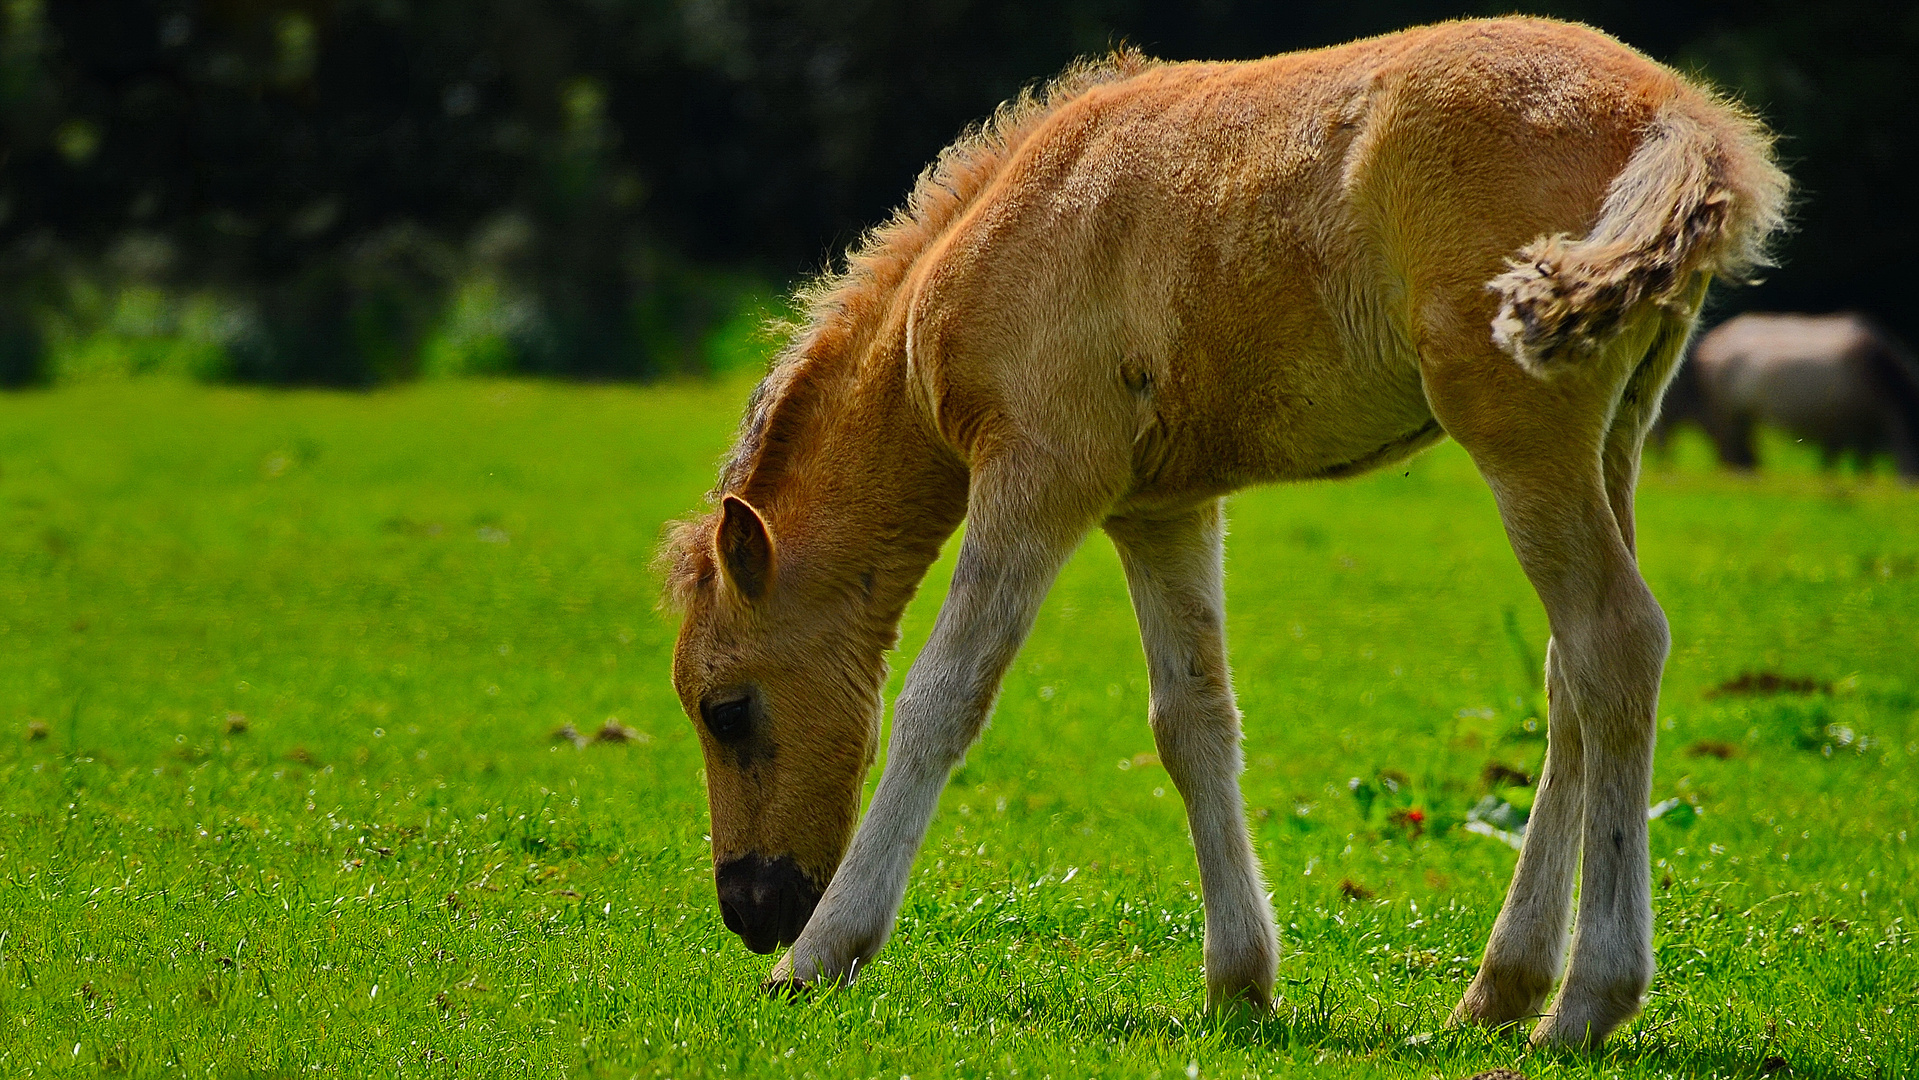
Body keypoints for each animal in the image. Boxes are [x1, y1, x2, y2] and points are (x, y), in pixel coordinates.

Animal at [660, 16, 1780, 1051]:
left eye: (726, 710)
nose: (751, 909)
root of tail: (1675, 112)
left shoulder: (1039, 471)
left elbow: (943, 697)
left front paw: (822, 955)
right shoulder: (1160, 507)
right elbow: (1192, 719)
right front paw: (1239, 980)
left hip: (1518, 429)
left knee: (1611, 642)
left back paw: (1585, 1001)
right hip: (1614, 433)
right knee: (1568, 680)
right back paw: (1498, 990)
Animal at [1650, 314, 1919, 479]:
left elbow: (1846, 461)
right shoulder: (1847, 422)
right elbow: (1848, 460)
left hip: (1739, 418)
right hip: (1730, 416)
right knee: (1730, 451)